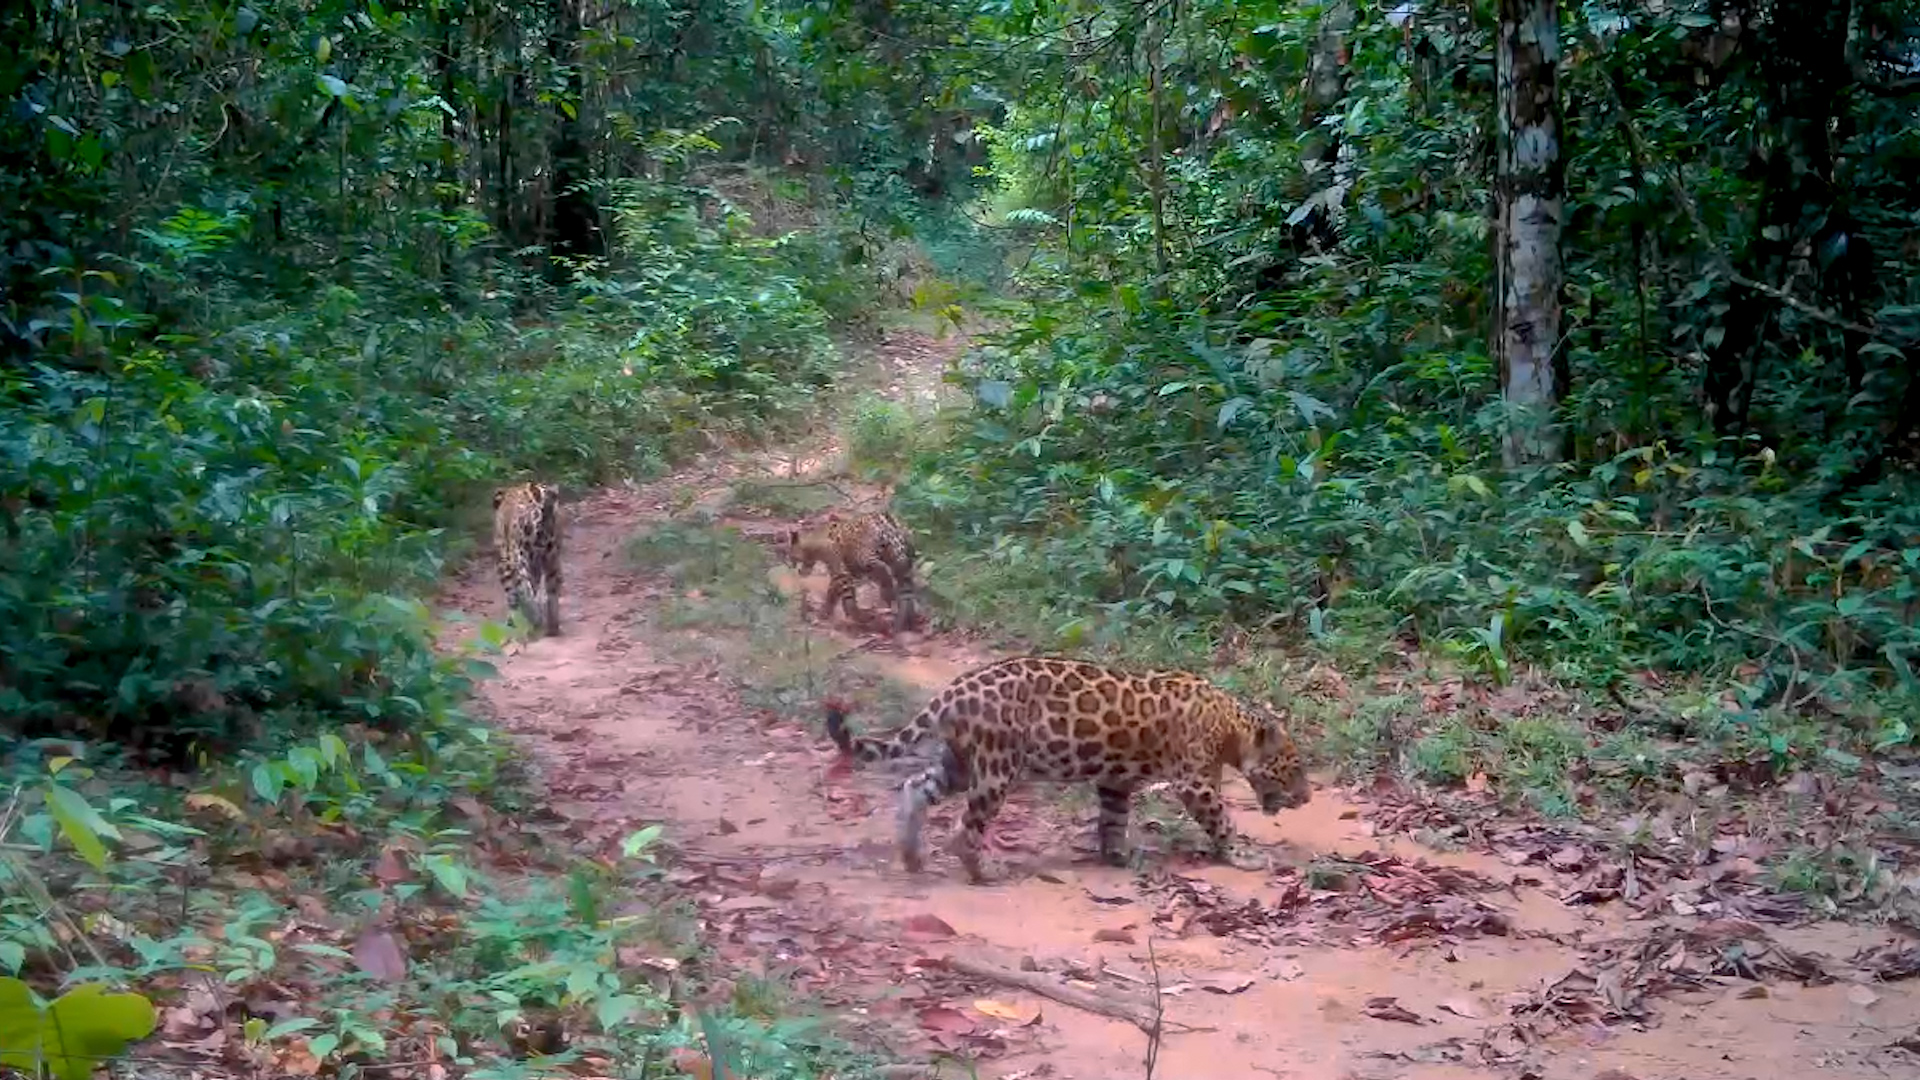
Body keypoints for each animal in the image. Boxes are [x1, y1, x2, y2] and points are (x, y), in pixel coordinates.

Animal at [780, 510, 920, 633]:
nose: (790, 565)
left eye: (790, 555)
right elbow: (837, 592)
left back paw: (889, 598)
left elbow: (842, 595)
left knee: (884, 571)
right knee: (906, 590)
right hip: (900, 560)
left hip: (866, 557)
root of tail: (884, 518)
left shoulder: (840, 571)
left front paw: (847, 614)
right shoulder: (846, 572)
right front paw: (831, 611)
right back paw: (906, 620)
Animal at [823, 656, 1310, 884]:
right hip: (998, 766)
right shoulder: (1195, 782)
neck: (1231, 726)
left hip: (960, 762)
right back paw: (984, 872)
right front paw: (1243, 856)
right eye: (1295, 768)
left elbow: (1113, 819)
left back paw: (911, 854)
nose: (1306, 798)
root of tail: (954, 690)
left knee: (914, 786)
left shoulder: (1115, 779)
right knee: (966, 825)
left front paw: (1117, 855)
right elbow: (1223, 820)